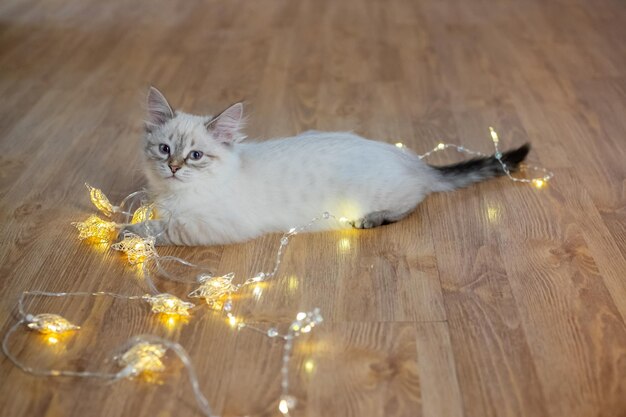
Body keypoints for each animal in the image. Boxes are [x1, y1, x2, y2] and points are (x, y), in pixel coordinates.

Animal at [120, 86, 528, 245]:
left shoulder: (213, 226)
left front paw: (128, 232)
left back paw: (371, 219)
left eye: (195, 156)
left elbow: (164, 228)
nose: (174, 167)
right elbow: (149, 213)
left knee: (412, 203)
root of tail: (411, 159)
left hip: (379, 197)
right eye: (164, 150)